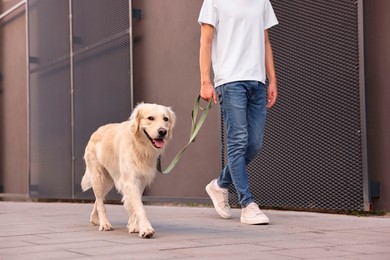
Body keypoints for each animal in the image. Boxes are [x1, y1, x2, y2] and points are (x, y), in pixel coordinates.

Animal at [81, 103, 176, 238]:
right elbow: (139, 207)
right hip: (98, 176)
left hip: (108, 181)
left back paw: (95, 219)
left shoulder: (141, 180)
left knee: (99, 199)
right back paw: (104, 223)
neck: (140, 146)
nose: (163, 131)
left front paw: (134, 226)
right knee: (100, 201)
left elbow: (134, 205)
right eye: (150, 118)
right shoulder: (130, 181)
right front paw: (145, 229)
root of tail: (96, 131)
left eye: (166, 119)